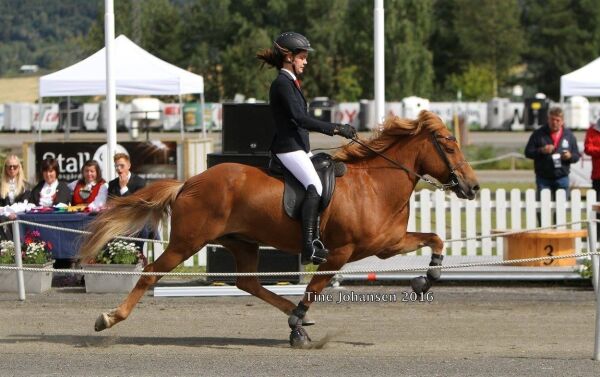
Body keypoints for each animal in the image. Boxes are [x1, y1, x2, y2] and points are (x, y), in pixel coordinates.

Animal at [82, 109, 480, 346]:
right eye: (449, 146)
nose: (473, 187)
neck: (376, 183)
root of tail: (189, 183)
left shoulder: (387, 243)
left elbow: (435, 239)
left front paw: (426, 279)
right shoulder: (339, 252)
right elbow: (316, 286)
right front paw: (299, 319)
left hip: (241, 242)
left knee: (248, 283)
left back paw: (293, 315)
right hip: (187, 242)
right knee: (150, 272)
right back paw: (108, 318)